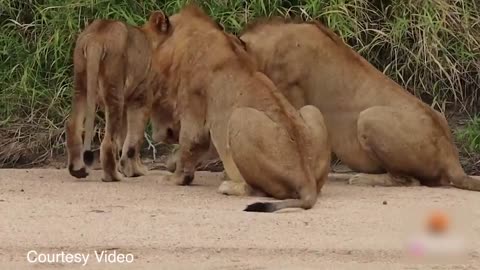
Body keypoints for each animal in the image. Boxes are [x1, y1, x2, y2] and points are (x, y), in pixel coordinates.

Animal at [65, 12, 171, 181]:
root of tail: (96, 38)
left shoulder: (127, 103)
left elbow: (124, 136)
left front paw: (129, 168)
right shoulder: (140, 99)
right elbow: (134, 138)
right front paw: (135, 171)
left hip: (81, 86)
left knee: (72, 125)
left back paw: (77, 171)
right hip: (114, 90)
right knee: (108, 141)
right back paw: (113, 176)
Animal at [146, 6, 332, 212]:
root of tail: (306, 180)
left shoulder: (193, 111)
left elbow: (189, 145)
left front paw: (173, 178)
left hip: (240, 117)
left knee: (260, 191)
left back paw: (228, 185)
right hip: (311, 111)